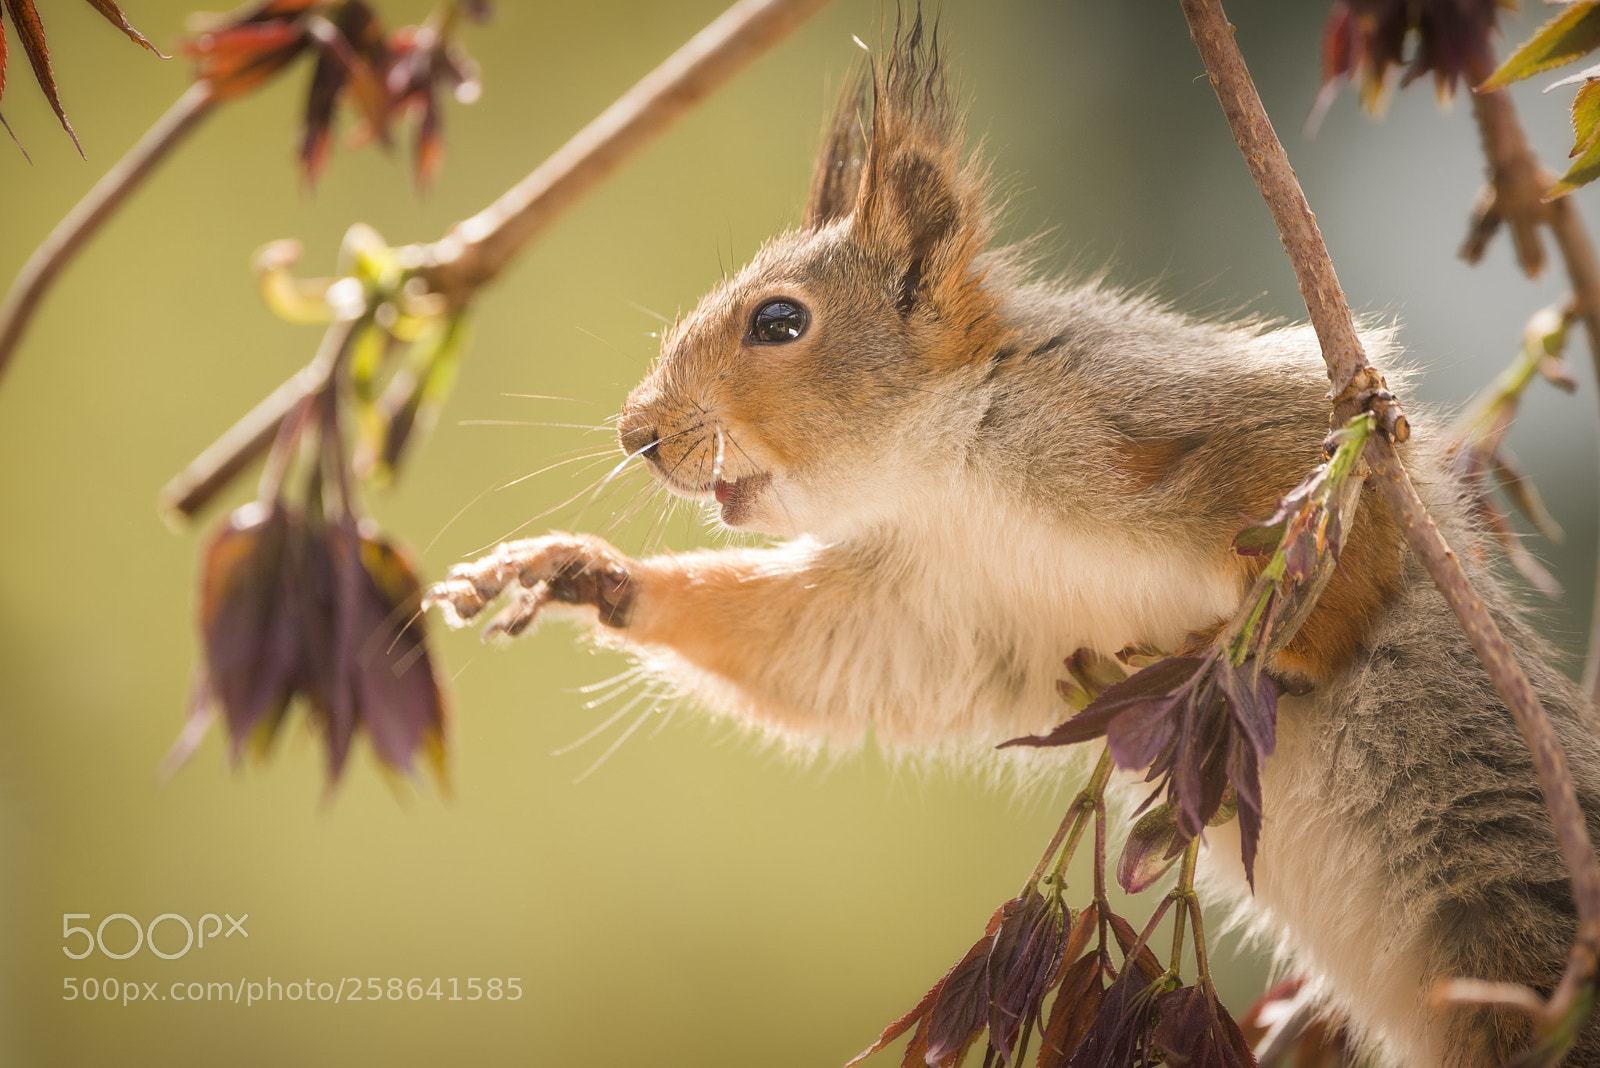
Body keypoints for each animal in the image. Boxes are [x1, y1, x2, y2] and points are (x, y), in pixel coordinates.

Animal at [424, 16, 1600, 1068]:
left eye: (778, 323)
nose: (638, 433)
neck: (948, 469)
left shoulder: (1189, 417)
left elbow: (1356, 513)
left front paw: (1296, 644)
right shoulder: (946, 601)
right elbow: (814, 648)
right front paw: (582, 575)